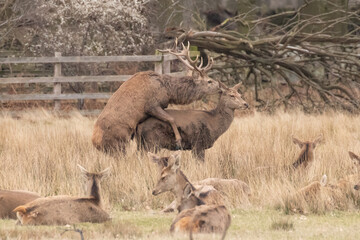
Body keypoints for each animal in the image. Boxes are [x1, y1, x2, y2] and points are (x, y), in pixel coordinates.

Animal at [91, 42, 219, 153]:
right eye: (209, 81)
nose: (219, 86)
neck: (167, 90)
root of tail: (94, 143)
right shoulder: (151, 105)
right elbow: (171, 119)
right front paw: (178, 140)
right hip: (117, 144)